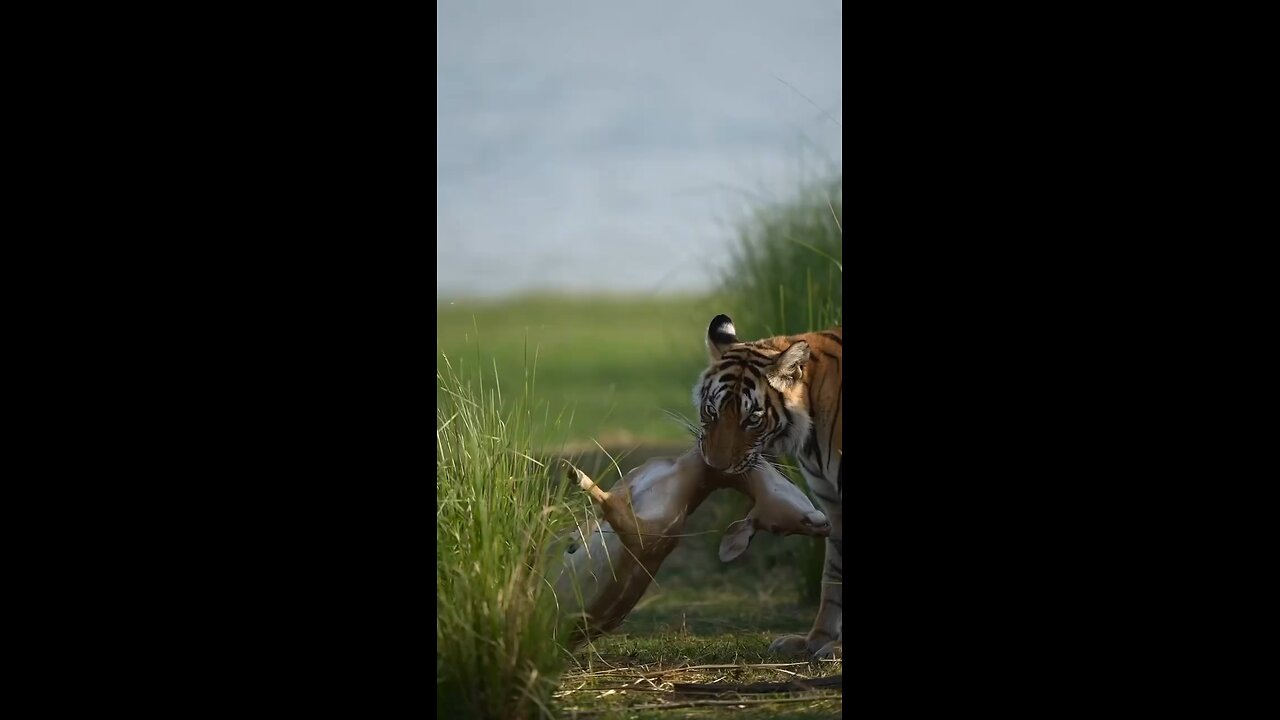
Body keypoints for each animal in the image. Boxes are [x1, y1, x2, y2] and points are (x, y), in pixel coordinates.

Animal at [547, 443, 829, 645]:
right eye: (778, 529)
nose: (823, 528)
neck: (680, 478)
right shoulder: (628, 485)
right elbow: (598, 511)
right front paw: (571, 535)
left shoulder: (656, 535)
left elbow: (611, 507)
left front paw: (575, 473)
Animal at [696, 312, 844, 655]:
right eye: (711, 410)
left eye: (752, 418)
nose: (716, 468)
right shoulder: (833, 505)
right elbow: (832, 577)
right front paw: (815, 641)